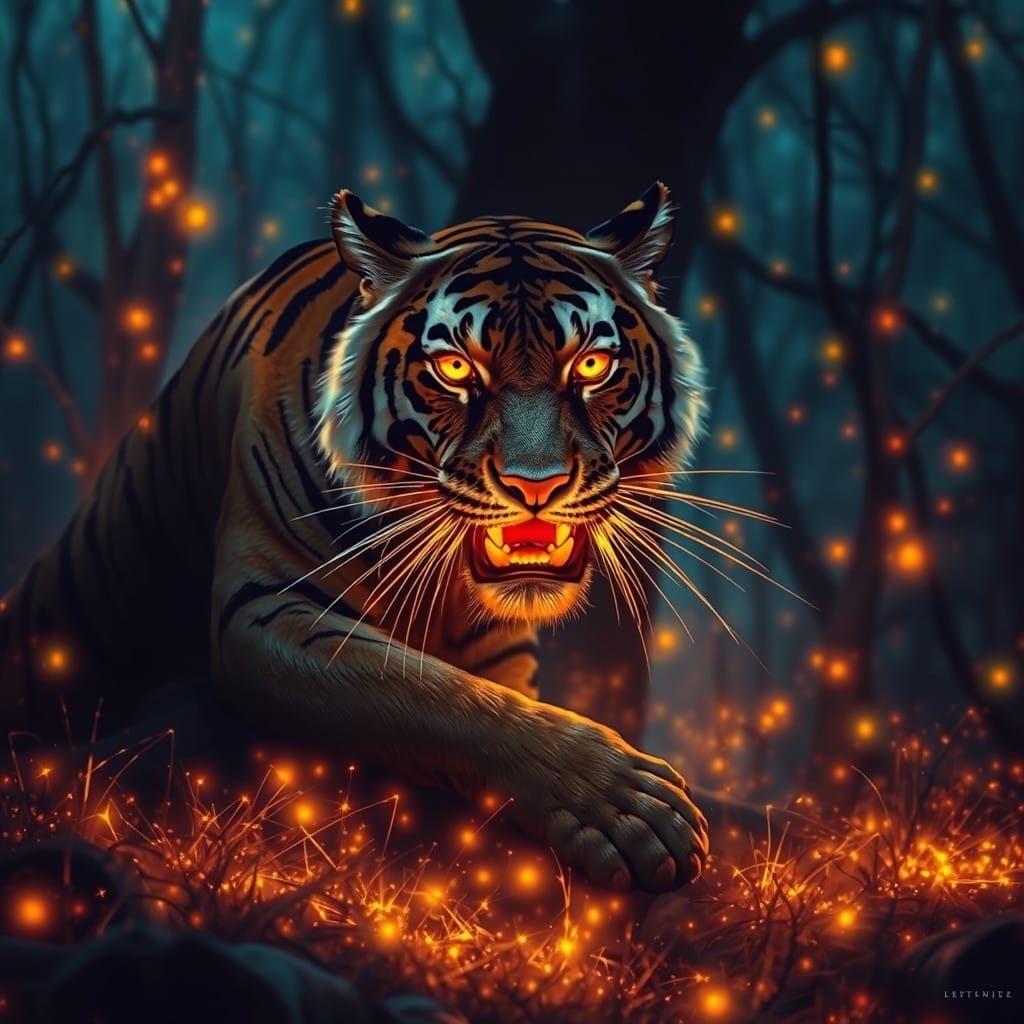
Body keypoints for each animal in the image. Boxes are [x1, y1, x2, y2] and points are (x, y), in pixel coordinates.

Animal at [0, 182, 709, 893]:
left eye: (591, 364)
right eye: (456, 369)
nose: (536, 485)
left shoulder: (501, 650)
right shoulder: (267, 607)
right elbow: (434, 693)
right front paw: (628, 806)